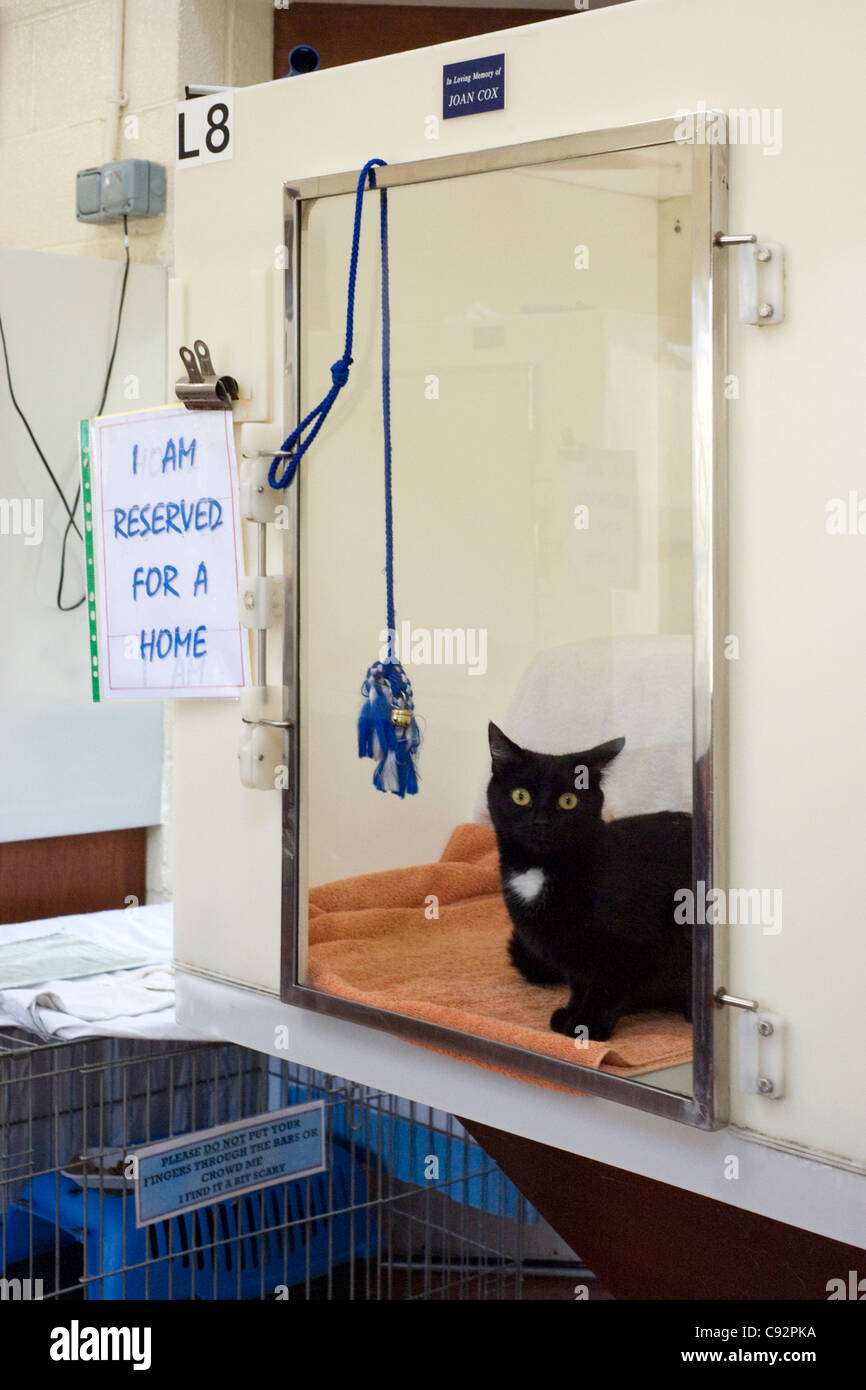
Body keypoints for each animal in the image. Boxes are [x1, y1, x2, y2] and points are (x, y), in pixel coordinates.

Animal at [489, 722, 692, 1039]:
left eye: (568, 801)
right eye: (520, 796)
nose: (542, 821)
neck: (543, 868)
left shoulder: (629, 945)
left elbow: (608, 986)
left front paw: (587, 1026)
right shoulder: (572, 950)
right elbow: (580, 982)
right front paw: (571, 1013)